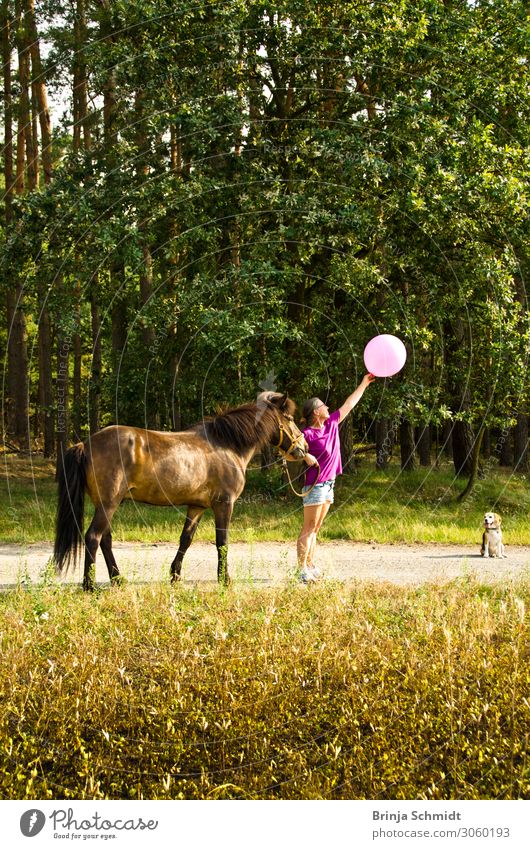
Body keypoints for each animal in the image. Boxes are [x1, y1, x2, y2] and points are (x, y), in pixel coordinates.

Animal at [53, 392, 306, 588]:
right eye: (290, 418)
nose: (303, 447)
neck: (227, 445)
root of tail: (85, 444)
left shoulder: (197, 506)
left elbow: (186, 539)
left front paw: (175, 575)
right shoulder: (224, 504)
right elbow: (222, 541)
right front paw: (225, 579)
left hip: (106, 505)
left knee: (105, 539)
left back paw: (117, 579)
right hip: (108, 504)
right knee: (93, 537)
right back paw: (89, 585)